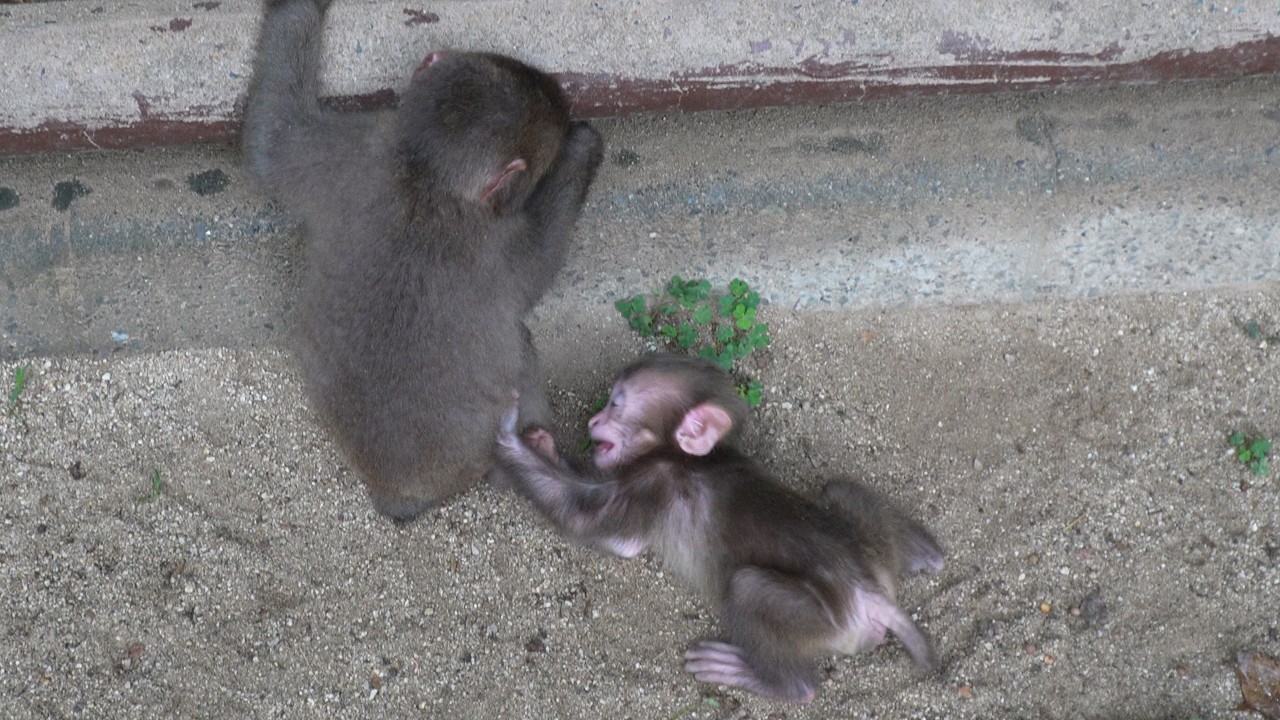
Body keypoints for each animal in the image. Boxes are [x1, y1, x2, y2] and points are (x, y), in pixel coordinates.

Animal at [242, 0, 603, 520]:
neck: (426, 173)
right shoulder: (497, 239)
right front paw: (582, 149)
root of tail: (397, 494)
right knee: (520, 347)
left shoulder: (353, 147)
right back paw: (537, 457)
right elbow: (539, 268)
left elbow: (273, 138)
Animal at [495, 355, 945, 703]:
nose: (593, 420)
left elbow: (600, 529)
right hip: (871, 551)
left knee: (749, 589)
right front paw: (540, 444)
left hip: (826, 621)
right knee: (837, 488)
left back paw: (772, 680)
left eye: (615, 404)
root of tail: (870, 593)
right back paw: (927, 554)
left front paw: (508, 435)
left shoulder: (656, 483)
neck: (690, 457)